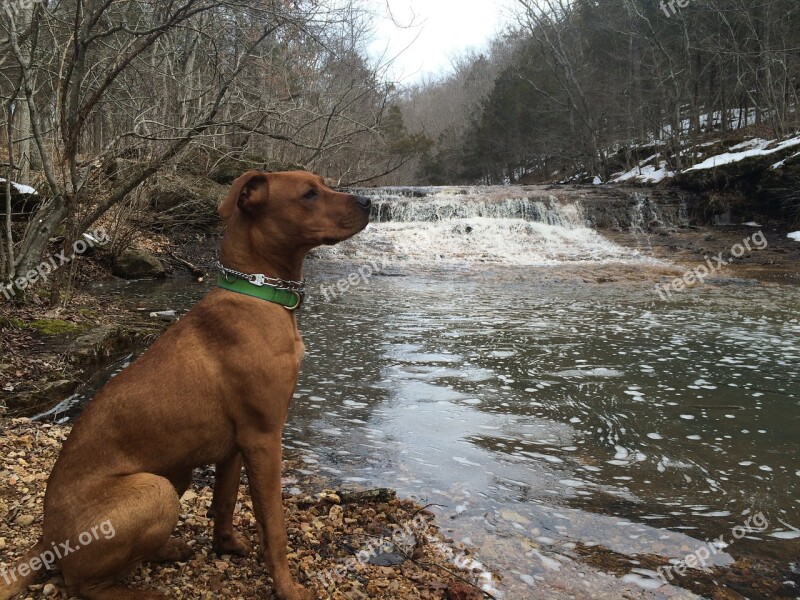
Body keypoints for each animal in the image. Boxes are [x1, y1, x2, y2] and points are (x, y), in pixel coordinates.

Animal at [0, 170, 372, 600]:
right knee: (83, 584)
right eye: (309, 194)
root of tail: (46, 538)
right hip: (155, 489)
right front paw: (287, 587)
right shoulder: (264, 436)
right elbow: (274, 525)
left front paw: (226, 546)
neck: (258, 292)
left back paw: (169, 549)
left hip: (175, 472)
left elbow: (225, 501)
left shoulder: (236, 446)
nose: (369, 202)